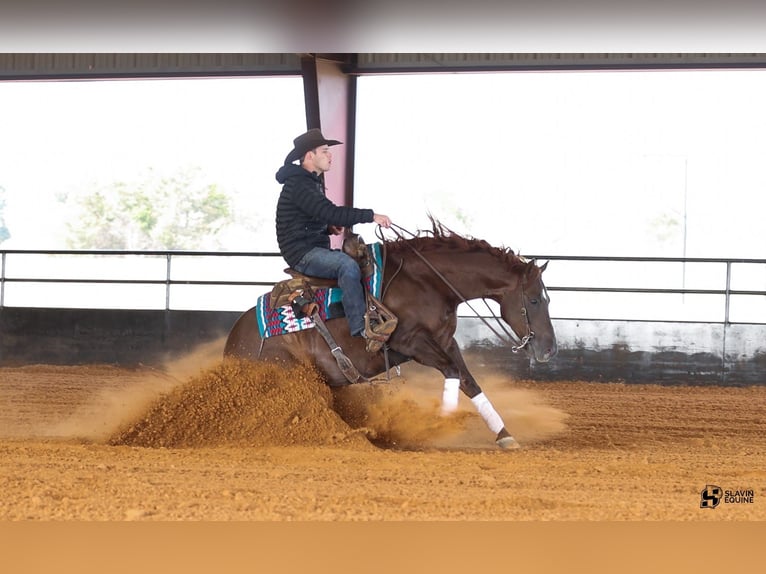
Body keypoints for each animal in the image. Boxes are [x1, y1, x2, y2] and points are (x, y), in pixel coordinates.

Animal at [224, 220, 557, 449]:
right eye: (534, 300)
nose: (549, 350)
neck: (428, 283)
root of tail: (234, 343)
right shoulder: (414, 344)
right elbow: (452, 373)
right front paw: (442, 421)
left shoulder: (446, 342)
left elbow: (468, 381)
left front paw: (504, 435)